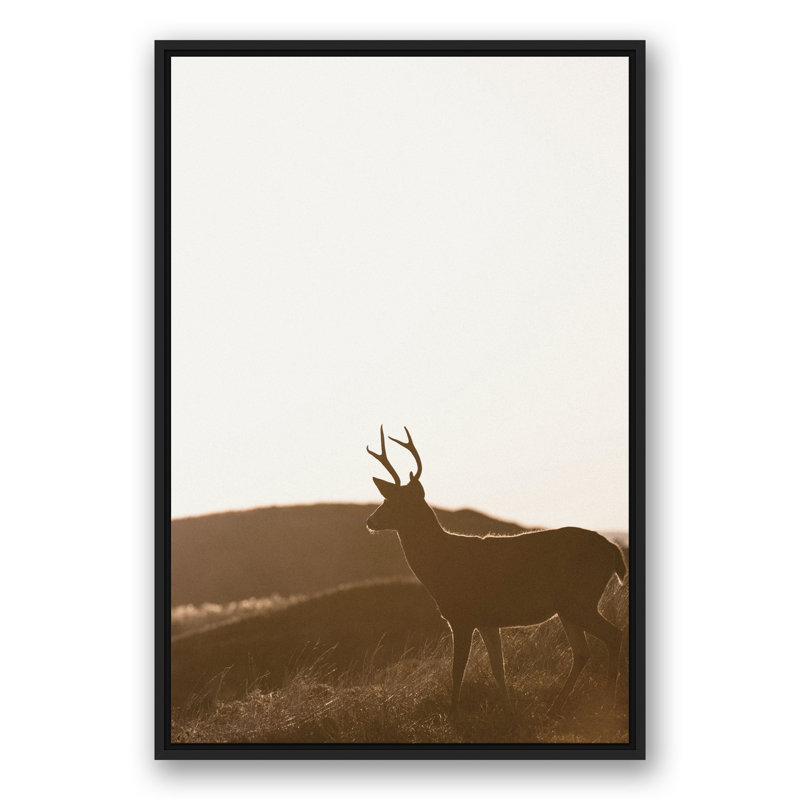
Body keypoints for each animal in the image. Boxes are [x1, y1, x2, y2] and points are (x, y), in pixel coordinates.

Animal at [365, 426, 626, 717]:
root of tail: (613, 549)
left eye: (390, 502)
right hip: (568, 606)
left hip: (579, 598)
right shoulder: (488, 621)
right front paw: (509, 710)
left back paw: (606, 704)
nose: (370, 521)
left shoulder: (462, 616)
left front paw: (453, 714)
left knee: (613, 635)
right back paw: (554, 708)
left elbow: (458, 670)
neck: (440, 563)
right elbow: (498, 668)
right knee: (582, 651)